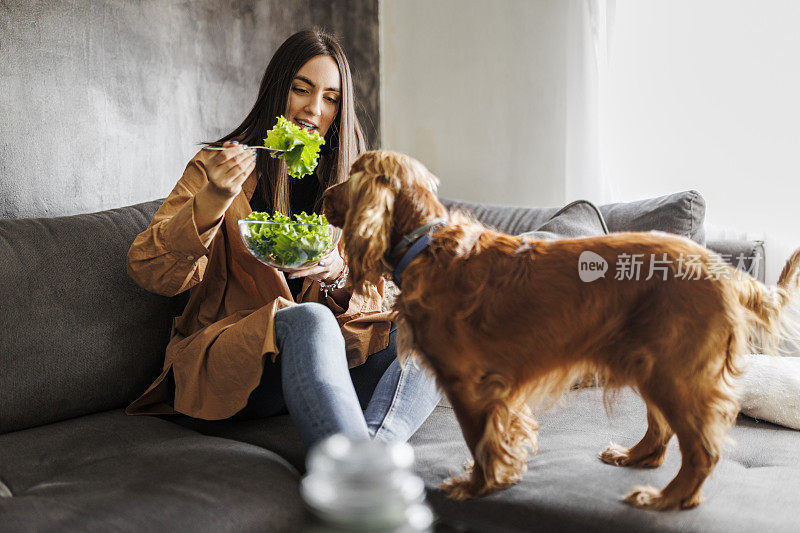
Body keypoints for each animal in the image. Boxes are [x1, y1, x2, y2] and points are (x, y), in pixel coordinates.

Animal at [322, 148, 800, 510]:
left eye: (351, 175)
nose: (323, 192)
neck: (425, 245)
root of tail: (723, 269)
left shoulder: (469, 384)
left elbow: (480, 441)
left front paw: (477, 486)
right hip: (651, 363)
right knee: (661, 430)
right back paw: (633, 457)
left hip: (675, 370)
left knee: (702, 448)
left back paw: (667, 499)